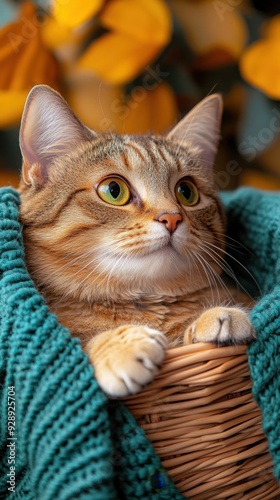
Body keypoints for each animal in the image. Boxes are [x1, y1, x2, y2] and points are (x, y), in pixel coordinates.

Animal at [17, 85, 254, 398]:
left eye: (187, 191)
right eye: (113, 190)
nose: (171, 218)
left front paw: (215, 317)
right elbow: (72, 347)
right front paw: (118, 346)